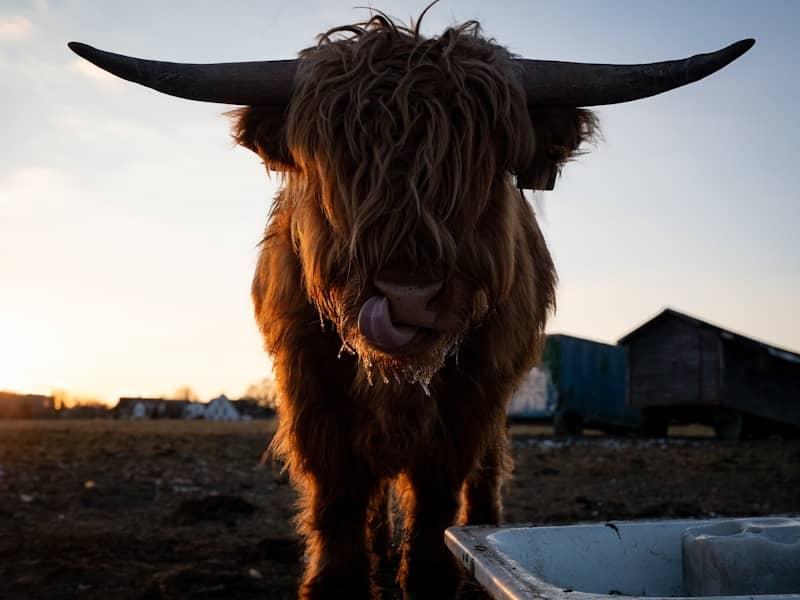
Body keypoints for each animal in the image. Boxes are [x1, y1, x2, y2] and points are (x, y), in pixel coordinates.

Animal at [70, 10, 753, 600]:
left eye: (486, 167)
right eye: (336, 164)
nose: (407, 296)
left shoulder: (470, 400)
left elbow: (436, 506)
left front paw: (434, 575)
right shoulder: (311, 392)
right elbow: (339, 501)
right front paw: (343, 583)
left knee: (483, 478)